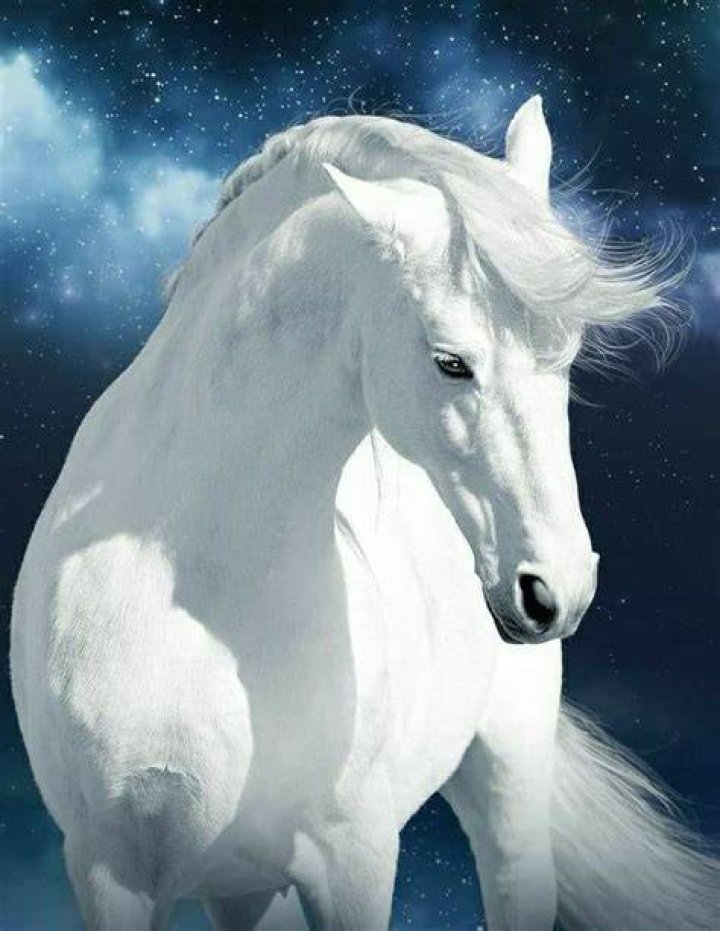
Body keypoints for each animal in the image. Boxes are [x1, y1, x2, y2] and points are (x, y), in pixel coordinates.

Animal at [10, 97, 719, 931]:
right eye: (450, 361)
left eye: (567, 357)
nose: (556, 590)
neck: (199, 588)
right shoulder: (110, 870)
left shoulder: (353, 857)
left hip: (508, 774)